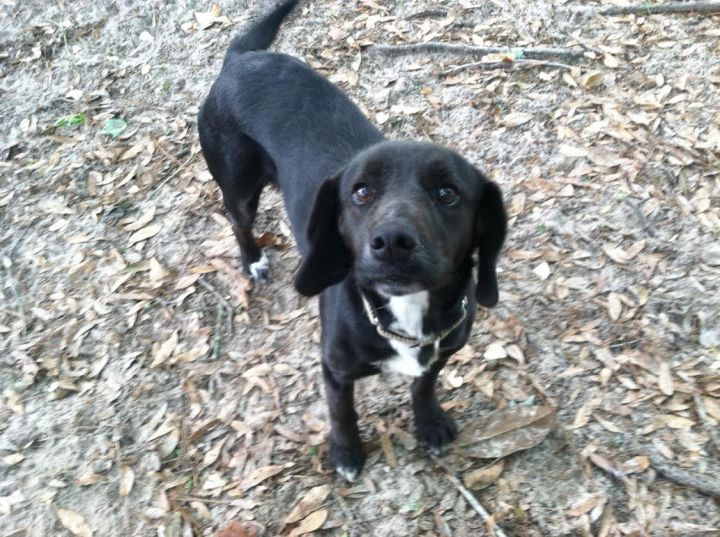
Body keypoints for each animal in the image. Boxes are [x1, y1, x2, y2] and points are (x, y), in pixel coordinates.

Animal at [198, 0, 506, 478]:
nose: (392, 241)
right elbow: (342, 412)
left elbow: (423, 388)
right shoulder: (334, 369)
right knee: (237, 221)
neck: (406, 313)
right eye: (361, 192)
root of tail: (239, 60)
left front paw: (429, 423)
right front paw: (346, 453)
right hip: (239, 186)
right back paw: (252, 260)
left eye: (447, 194)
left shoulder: (440, 354)